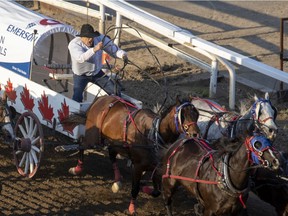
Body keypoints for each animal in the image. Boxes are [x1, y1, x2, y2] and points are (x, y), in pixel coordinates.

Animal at [65, 94, 200, 214]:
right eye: (183, 115)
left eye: (197, 114)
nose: (195, 134)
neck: (152, 135)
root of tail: (100, 99)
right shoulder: (138, 167)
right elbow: (135, 188)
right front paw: (131, 208)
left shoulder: (156, 168)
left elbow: (156, 191)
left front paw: (145, 188)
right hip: (93, 138)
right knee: (82, 143)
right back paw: (77, 168)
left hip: (115, 143)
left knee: (111, 155)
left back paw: (117, 181)